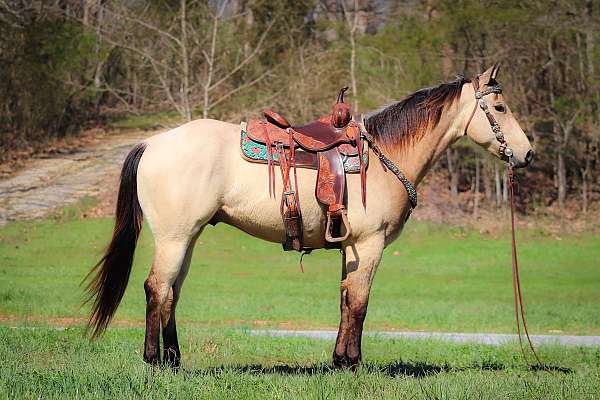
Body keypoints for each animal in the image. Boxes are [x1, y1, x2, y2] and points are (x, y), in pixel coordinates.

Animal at [85, 65, 536, 368]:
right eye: (499, 106)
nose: (527, 153)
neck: (384, 155)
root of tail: (152, 143)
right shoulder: (370, 244)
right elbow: (360, 302)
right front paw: (353, 363)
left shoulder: (351, 246)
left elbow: (345, 299)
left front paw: (339, 359)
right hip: (174, 237)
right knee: (156, 288)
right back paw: (154, 360)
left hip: (188, 238)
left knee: (172, 292)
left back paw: (174, 359)